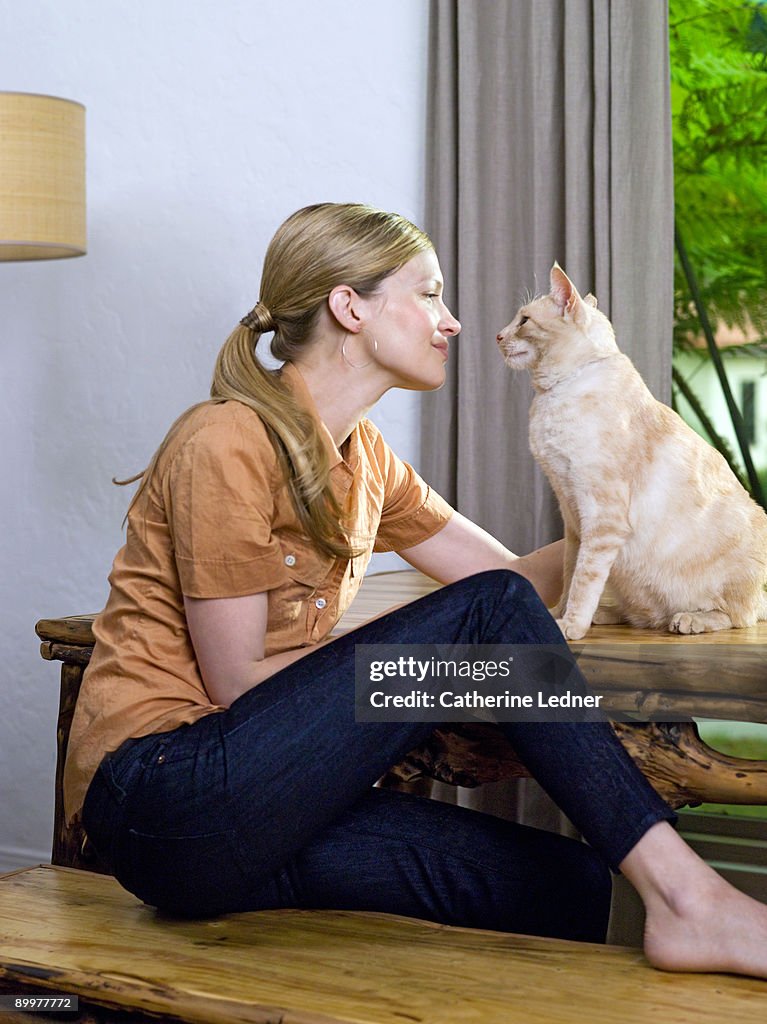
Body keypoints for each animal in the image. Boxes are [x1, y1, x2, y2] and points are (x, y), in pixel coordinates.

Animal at [493, 264, 765, 634]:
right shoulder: (572, 518)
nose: (498, 335)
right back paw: (607, 615)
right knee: (642, 617)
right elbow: (570, 573)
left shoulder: (601, 517)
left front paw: (570, 625)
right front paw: (557, 616)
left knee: (738, 616)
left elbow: (584, 578)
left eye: (523, 320)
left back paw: (689, 619)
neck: (554, 394)